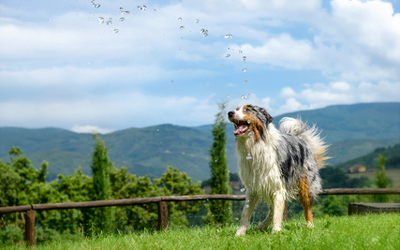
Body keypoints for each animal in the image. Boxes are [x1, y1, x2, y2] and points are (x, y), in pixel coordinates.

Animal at [227, 104, 330, 235]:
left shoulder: (278, 186)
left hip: (305, 184)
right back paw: (262, 225)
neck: (256, 144)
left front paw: (276, 233)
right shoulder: (253, 187)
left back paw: (310, 226)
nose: (230, 113)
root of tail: (299, 138)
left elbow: (277, 212)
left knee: (306, 207)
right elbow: (246, 212)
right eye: (236, 109)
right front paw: (239, 234)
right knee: (272, 208)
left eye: (247, 110)